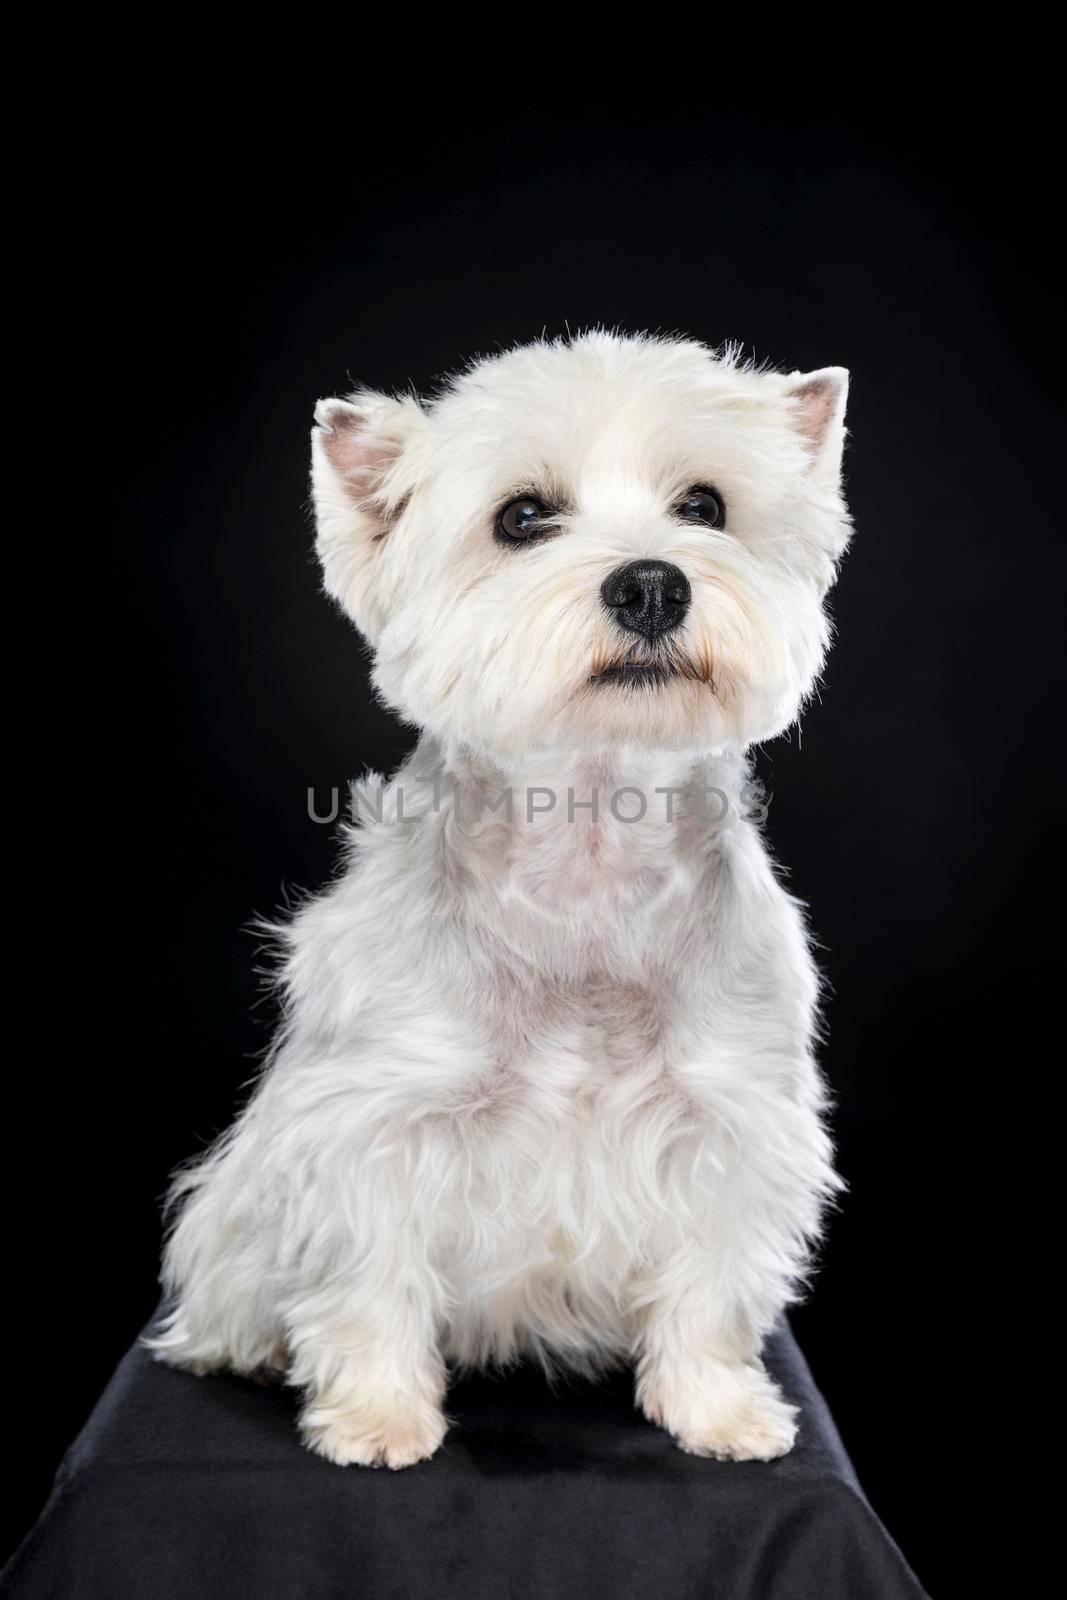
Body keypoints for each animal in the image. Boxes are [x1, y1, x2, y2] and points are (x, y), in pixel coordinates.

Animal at [147, 331, 851, 1465]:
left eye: (704, 506)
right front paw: (377, 1418)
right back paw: (245, 1350)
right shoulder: (375, 1123)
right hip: (237, 1206)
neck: (591, 844)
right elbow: (370, 1280)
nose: (650, 585)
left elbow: (707, 1286)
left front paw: (719, 1411)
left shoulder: (728, 1120)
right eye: (521, 517)